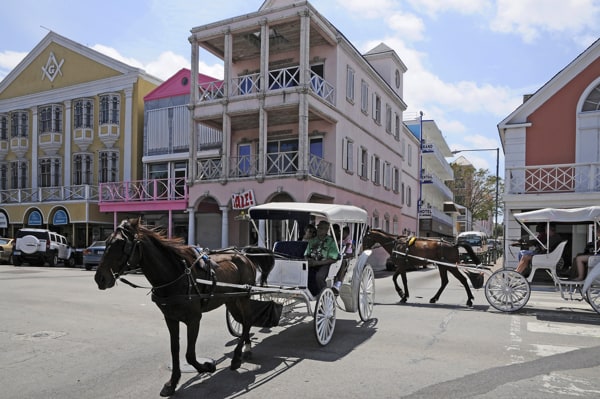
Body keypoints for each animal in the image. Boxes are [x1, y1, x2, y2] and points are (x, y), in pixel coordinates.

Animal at [94, 220, 276, 398]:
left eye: (121, 243)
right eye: (107, 241)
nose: (99, 278)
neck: (175, 276)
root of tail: (243, 254)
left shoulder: (194, 319)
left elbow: (189, 354)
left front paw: (206, 367)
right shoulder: (171, 318)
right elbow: (175, 350)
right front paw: (172, 382)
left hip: (243, 297)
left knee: (248, 320)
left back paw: (237, 357)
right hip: (231, 300)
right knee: (244, 322)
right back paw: (246, 348)